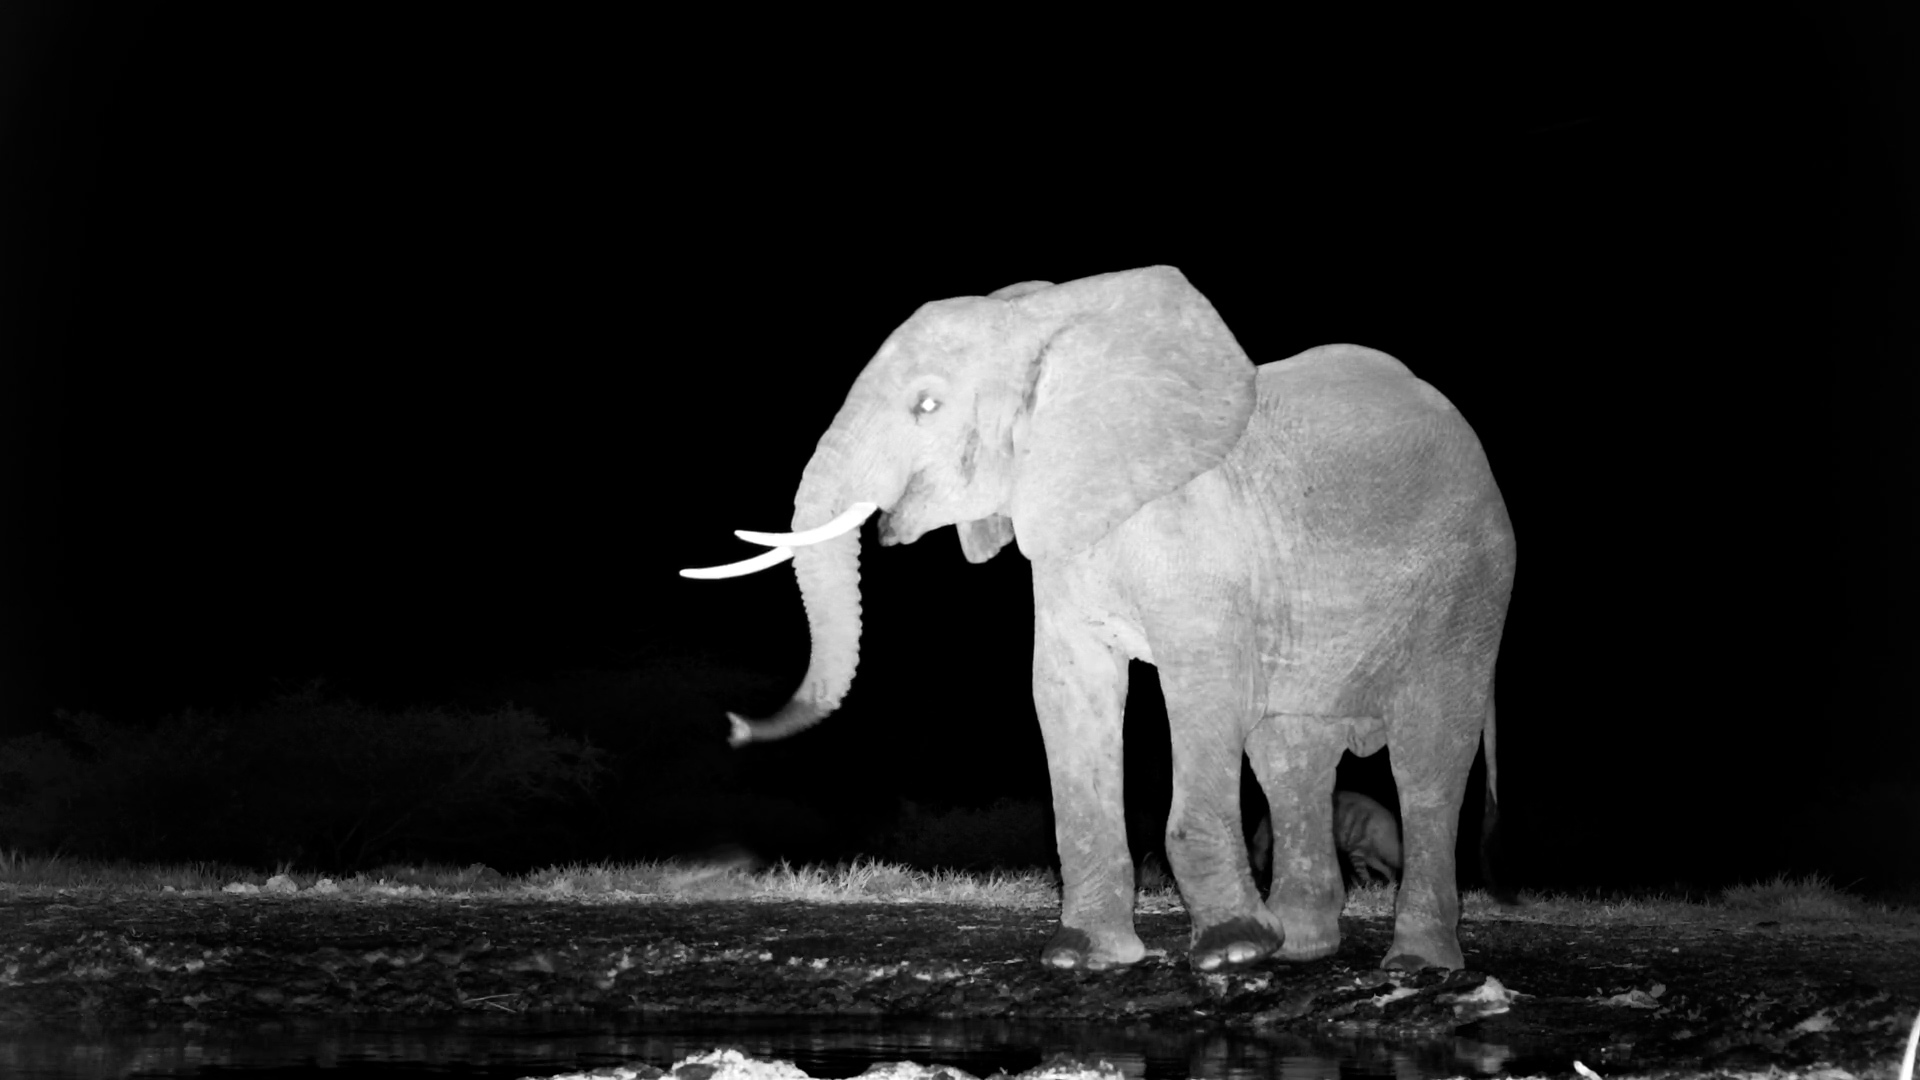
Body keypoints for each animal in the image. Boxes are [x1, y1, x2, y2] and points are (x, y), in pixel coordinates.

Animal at [683, 266, 1515, 972]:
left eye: (927, 405)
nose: (732, 726)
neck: (1051, 325)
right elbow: (1064, 690)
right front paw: (1085, 958)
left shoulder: (1193, 537)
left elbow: (1202, 688)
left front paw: (1231, 952)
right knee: (1290, 755)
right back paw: (1302, 949)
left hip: (1470, 583)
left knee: (1424, 759)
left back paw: (1415, 964)